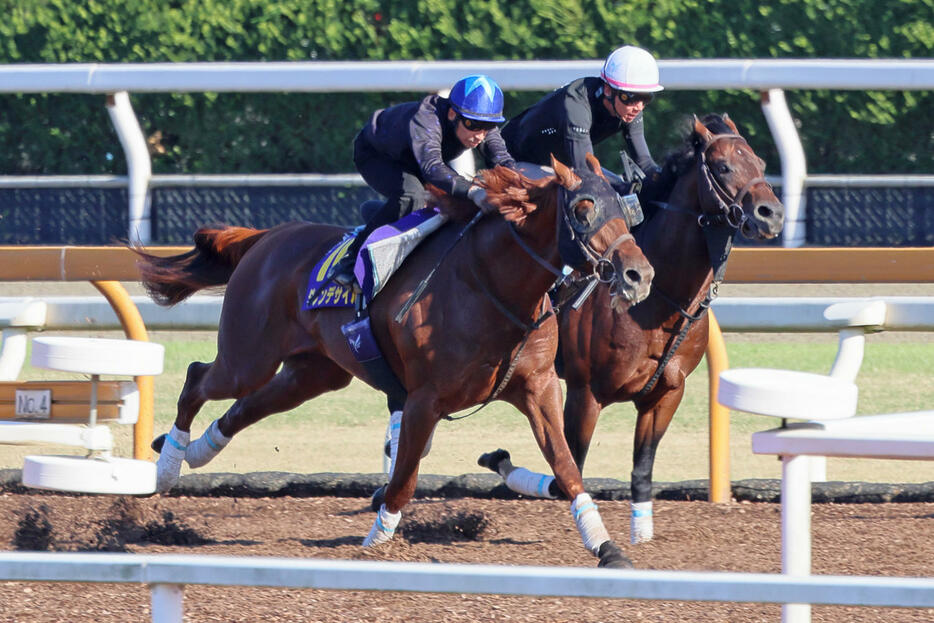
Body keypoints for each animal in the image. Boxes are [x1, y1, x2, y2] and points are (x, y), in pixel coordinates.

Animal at [139, 155, 656, 564]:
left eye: (623, 208)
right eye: (583, 209)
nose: (639, 274)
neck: (489, 285)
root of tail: (264, 238)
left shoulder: (539, 386)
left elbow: (567, 469)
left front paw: (605, 546)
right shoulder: (425, 398)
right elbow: (404, 476)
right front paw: (377, 541)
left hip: (313, 373)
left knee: (245, 407)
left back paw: (197, 451)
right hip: (249, 357)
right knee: (198, 378)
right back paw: (167, 467)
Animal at [478, 114, 788, 544]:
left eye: (759, 162)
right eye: (723, 166)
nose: (771, 214)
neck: (656, 302)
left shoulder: (666, 394)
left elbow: (641, 470)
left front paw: (641, 537)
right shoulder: (585, 394)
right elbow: (564, 474)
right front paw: (498, 460)